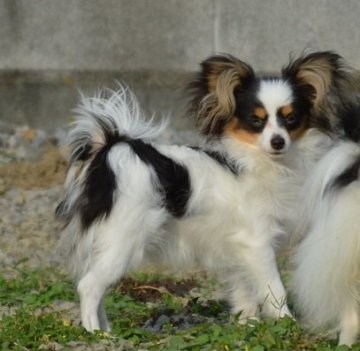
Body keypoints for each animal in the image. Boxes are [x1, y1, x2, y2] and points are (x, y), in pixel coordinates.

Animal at [57, 51, 350, 332]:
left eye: (291, 119)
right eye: (256, 121)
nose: (278, 141)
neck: (258, 162)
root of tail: (110, 150)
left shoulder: (236, 249)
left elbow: (245, 291)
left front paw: (248, 325)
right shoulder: (257, 244)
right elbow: (273, 289)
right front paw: (285, 322)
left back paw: (105, 328)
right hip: (123, 240)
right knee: (89, 286)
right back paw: (94, 332)